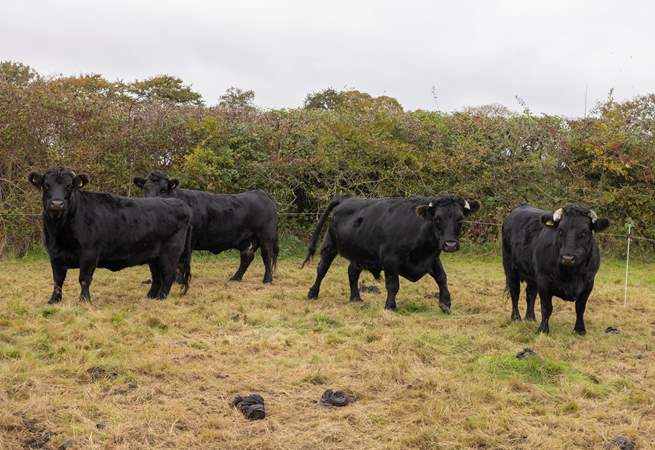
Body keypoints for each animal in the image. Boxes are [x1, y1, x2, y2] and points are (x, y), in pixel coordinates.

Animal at [28, 167, 193, 303]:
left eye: (69, 186)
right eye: (46, 185)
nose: (57, 203)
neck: (60, 232)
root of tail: (181, 204)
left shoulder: (89, 254)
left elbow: (84, 279)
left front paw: (84, 301)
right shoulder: (54, 255)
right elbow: (58, 280)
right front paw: (53, 300)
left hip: (170, 253)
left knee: (168, 275)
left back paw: (161, 298)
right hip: (154, 256)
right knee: (157, 277)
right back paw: (150, 296)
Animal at [133, 172, 279, 283]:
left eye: (163, 190)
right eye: (145, 189)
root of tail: (261, 193)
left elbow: (181, 261)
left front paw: (179, 280)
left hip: (266, 236)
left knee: (267, 255)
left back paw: (267, 279)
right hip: (248, 240)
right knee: (247, 257)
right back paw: (235, 277)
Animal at [302, 195, 480, 312]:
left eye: (460, 219)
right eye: (437, 219)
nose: (450, 244)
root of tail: (345, 198)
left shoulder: (432, 258)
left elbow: (442, 278)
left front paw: (445, 303)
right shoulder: (390, 260)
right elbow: (393, 285)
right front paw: (390, 306)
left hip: (359, 254)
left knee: (352, 272)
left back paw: (356, 298)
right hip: (329, 245)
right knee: (322, 269)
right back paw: (312, 293)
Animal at [502, 205, 610, 335]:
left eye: (584, 232)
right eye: (560, 231)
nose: (568, 258)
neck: (571, 275)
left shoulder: (588, 283)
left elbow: (580, 307)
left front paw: (579, 330)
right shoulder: (543, 281)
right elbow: (546, 307)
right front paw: (543, 329)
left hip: (532, 275)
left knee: (530, 294)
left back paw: (530, 318)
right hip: (510, 268)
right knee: (515, 292)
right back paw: (516, 318)